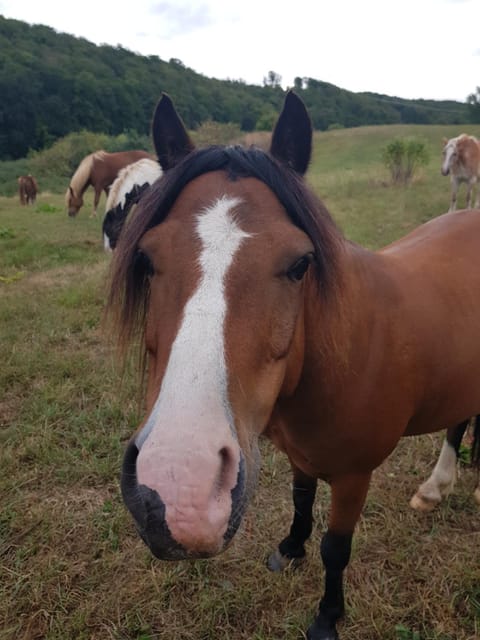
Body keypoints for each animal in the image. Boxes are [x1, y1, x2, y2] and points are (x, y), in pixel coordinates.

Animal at [108, 91, 480, 640]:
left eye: (300, 264)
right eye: (148, 259)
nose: (178, 490)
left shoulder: (354, 476)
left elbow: (336, 547)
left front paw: (327, 615)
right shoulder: (300, 456)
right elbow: (301, 502)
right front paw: (290, 549)